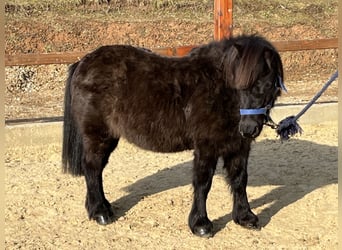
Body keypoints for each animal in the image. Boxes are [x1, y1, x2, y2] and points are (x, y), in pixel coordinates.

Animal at [62, 34, 284, 237]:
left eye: (269, 85)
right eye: (239, 84)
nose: (248, 128)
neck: (219, 90)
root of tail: (83, 62)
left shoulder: (238, 146)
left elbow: (239, 179)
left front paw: (245, 217)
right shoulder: (206, 146)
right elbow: (203, 183)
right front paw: (200, 225)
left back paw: (100, 208)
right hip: (98, 135)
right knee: (92, 168)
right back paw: (100, 212)